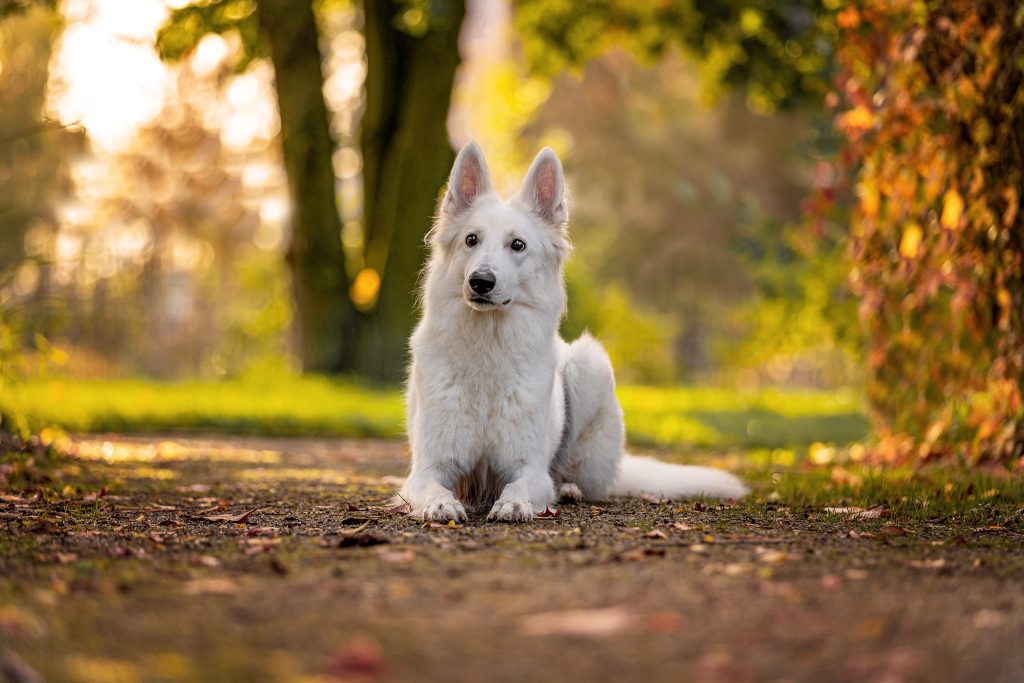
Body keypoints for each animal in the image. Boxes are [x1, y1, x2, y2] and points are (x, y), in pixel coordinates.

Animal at [395, 141, 749, 520]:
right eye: (471, 239)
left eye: (517, 245)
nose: (481, 282)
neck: (489, 348)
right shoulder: (427, 469)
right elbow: (432, 488)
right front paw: (441, 503)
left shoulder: (529, 468)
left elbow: (521, 485)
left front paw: (514, 503)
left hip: (588, 364)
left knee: (573, 476)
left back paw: (568, 490)